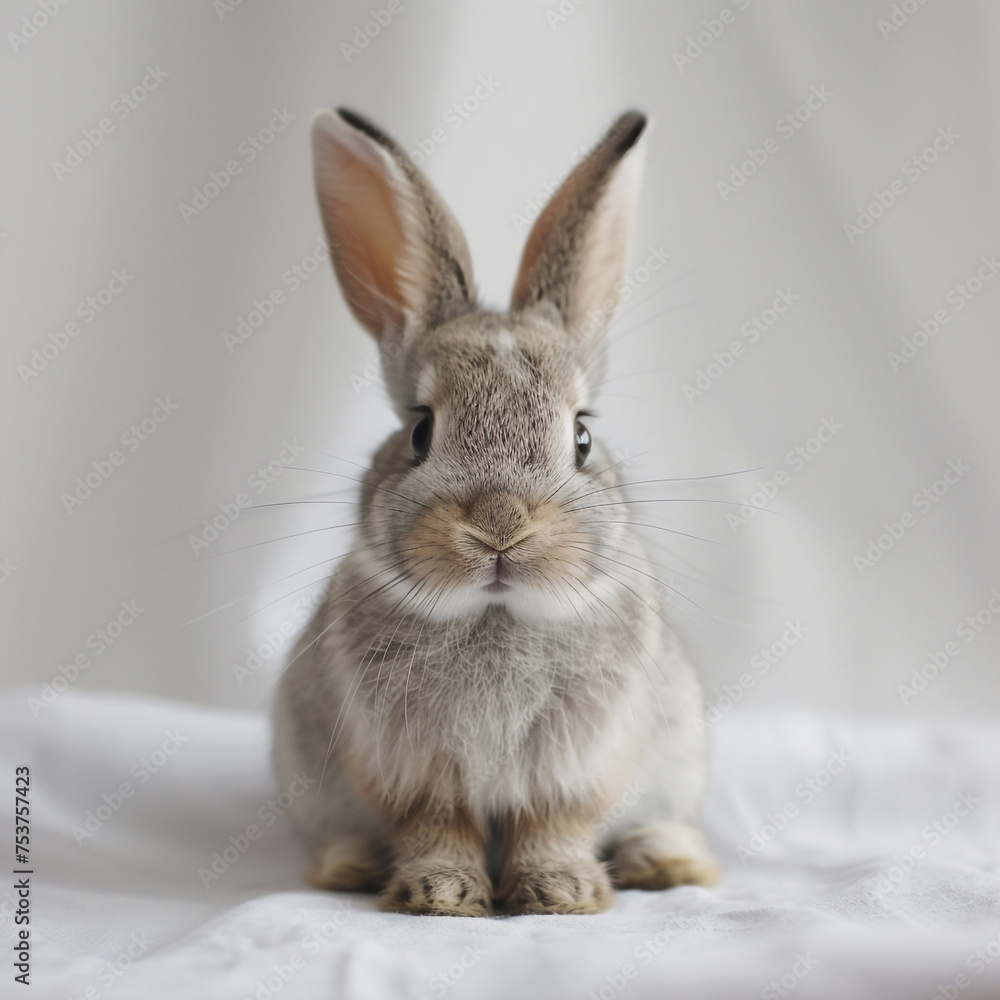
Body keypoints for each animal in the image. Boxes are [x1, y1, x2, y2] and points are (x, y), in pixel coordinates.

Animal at [272, 107, 721, 916]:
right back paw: (350, 865)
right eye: (420, 432)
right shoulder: (411, 767)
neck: (495, 614)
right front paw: (440, 895)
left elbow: (556, 824)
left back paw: (663, 861)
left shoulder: (578, 763)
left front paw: (561, 894)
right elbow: (436, 826)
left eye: (582, 437)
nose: (501, 525)